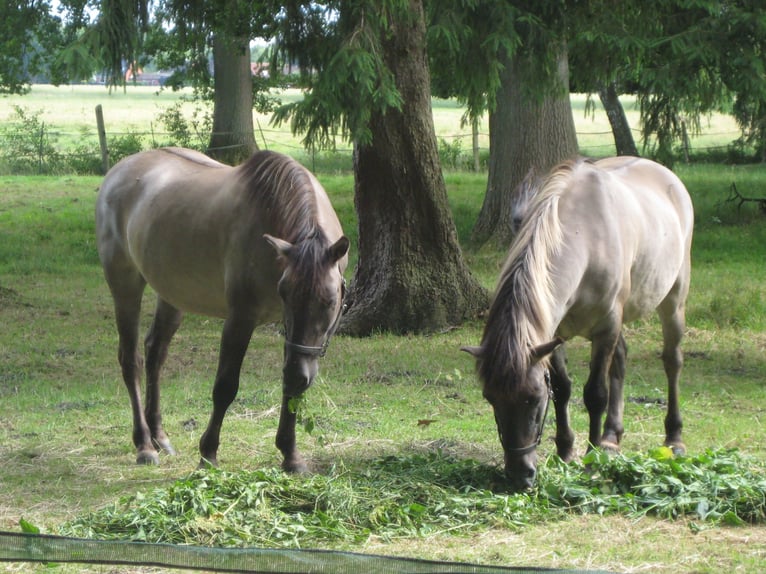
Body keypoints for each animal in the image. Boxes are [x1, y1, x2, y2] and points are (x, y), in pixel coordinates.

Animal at [95, 147, 349, 472]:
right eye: (285, 295)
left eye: (328, 302)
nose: (299, 373)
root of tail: (118, 171)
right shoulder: (240, 319)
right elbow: (225, 387)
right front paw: (208, 454)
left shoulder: (292, 337)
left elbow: (290, 388)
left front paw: (290, 454)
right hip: (125, 285)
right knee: (131, 360)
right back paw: (144, 445)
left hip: (173, 295)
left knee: (155, 354)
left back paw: (159, 437)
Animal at [463, 156, 693, 491]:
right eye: (490, 398)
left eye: (533, 399)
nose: (520, 477)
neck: (583, 236)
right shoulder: (553, 333)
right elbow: (563, 387)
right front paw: (565, 450)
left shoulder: (606, 327)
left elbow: (595, 394)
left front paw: (591, 460)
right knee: (621, 361)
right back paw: (611, 438)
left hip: (673, 300)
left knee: (672, 362)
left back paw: (673, 438)